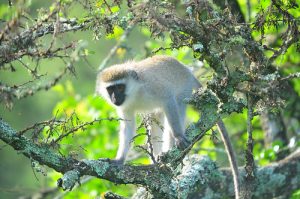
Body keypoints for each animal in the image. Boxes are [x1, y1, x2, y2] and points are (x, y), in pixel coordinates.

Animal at [95, 55, 239, 199]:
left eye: (120, 88)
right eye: (110, 89)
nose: (114, 98)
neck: (135, 93)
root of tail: (188, 71)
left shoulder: (153, 87)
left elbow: (169, 99)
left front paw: (178, 136)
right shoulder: (125, 107)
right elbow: (128, 126)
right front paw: (119, 160)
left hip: (184, 88)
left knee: (177, 106)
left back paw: (168, 153)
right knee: (155, 120)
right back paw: (157, 161)